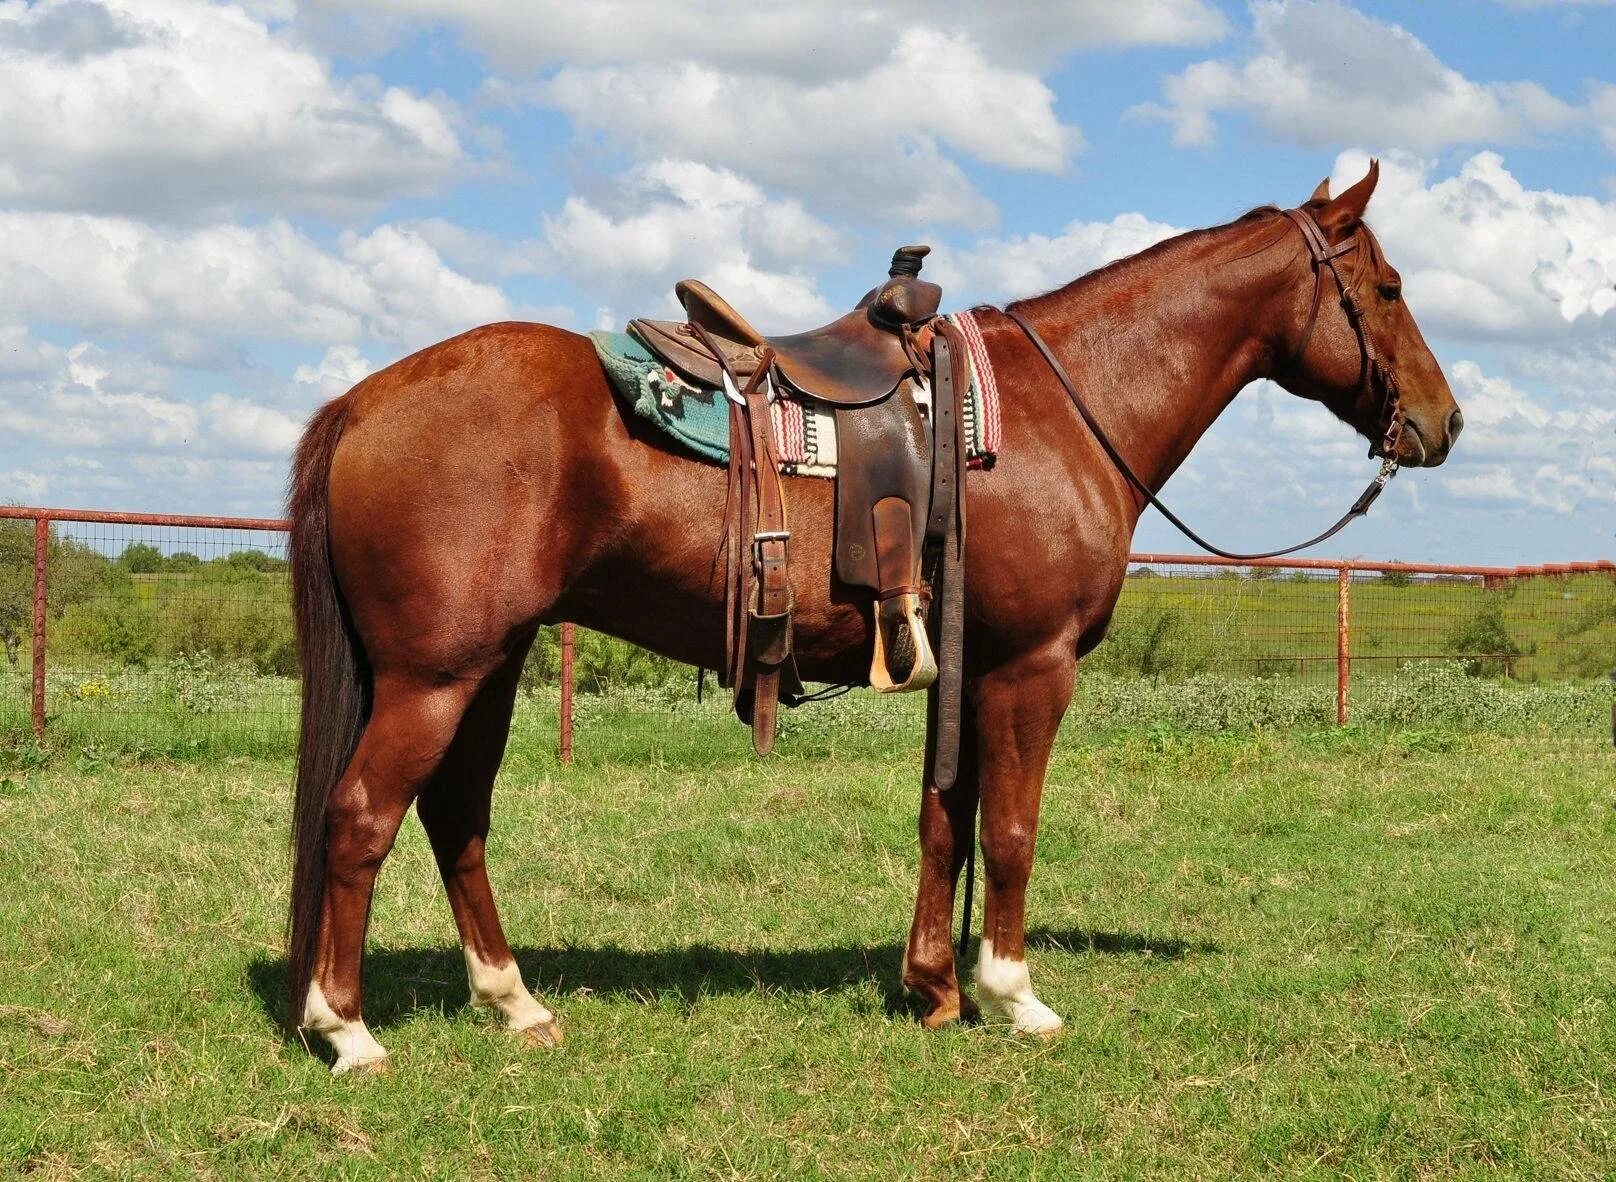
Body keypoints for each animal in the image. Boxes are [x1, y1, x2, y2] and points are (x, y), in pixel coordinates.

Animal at [284, 161, 1460, 1080]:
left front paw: (933, 988)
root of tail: (365, 400)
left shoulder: (971, 669)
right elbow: (1011, 831)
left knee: (456, 818)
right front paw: (1013, 995)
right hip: (435, 677)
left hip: (487, 665)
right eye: (1388, 286)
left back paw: (513, 1002)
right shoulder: (1032, 668)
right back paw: (345, 1030)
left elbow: (947, 819)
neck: (1062, 406)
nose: (1443, 422)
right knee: (362, 818)